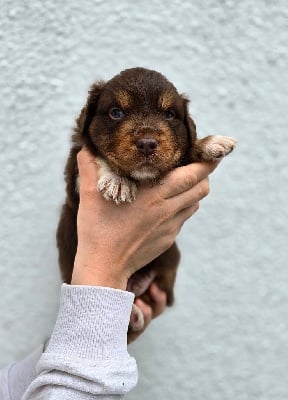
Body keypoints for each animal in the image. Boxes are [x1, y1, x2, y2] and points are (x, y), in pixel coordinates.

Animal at [56, 67, 236, 340]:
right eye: (116, 113)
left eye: (170, 115)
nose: (147, 144)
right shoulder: (74, 174)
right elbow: (99, 158)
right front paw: (118, 181)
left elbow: (184, 149)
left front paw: (209, 142)